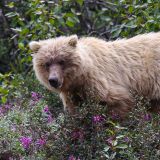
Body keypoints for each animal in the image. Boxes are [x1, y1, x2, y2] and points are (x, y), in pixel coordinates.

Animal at [28, 32, 160, 117]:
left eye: (61, 61)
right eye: (47, 63)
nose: (53, 80)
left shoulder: (101, 83)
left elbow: (119, 104)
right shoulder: (73, 95)